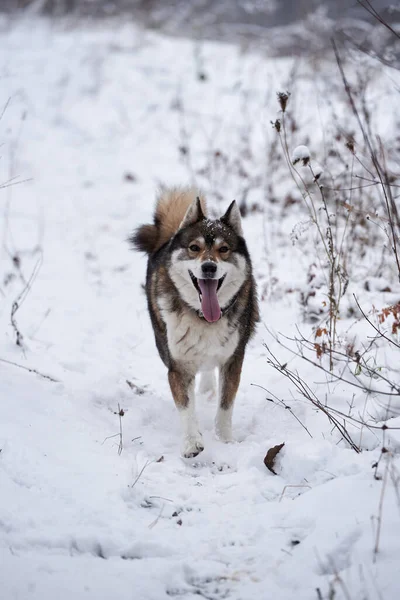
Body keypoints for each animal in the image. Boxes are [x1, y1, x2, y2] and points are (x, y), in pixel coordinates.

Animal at [130, 185, 258, 458]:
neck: (203, 317)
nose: (209, 267)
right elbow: (186, 407)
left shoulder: (233, 359)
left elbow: (225, 406)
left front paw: (225, 441)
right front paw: (192, 444)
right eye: (194, 248)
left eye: (223, 249)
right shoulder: (178, 365)